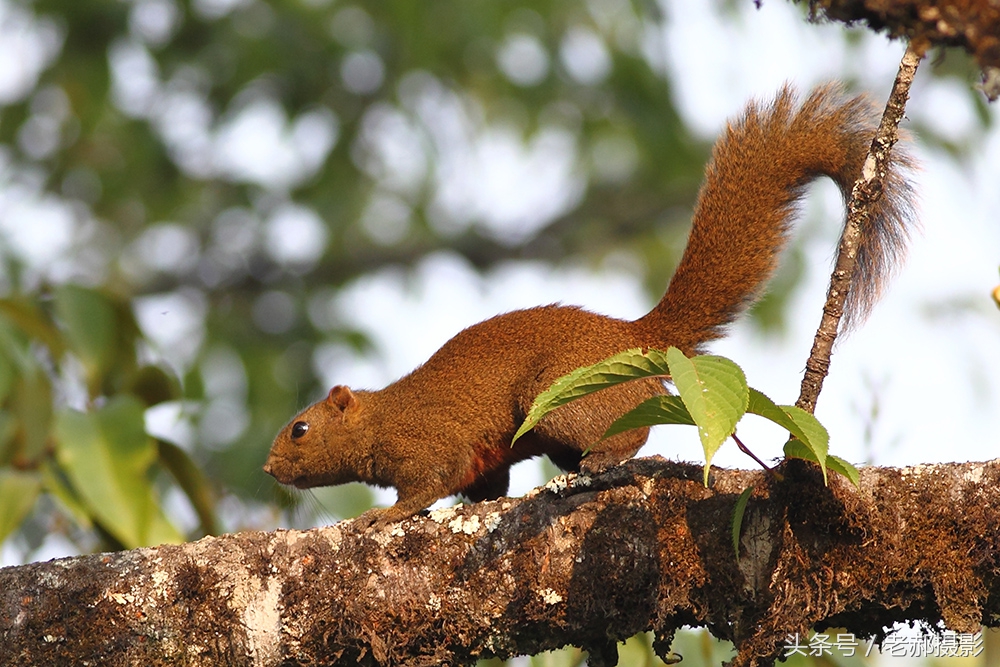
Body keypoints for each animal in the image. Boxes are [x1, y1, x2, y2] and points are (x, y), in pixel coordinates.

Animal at [264, 83, 916, 528]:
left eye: (300, 428)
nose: (269, 469)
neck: (382, 417)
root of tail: (637, 338)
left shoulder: (428, 446)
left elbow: (426, 488)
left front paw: (382, 516)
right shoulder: (482, 463)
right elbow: (486, 486)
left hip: (562, 404)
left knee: (636, 431)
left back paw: (601, 462)